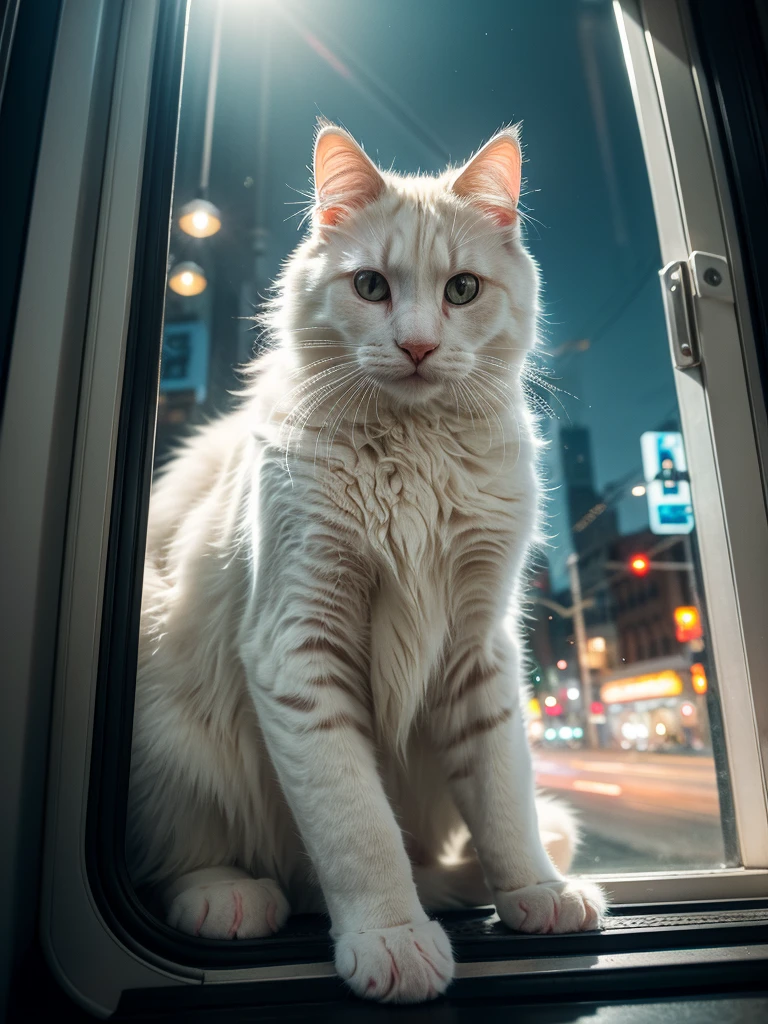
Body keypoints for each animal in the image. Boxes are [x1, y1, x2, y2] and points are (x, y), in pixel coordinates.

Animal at [129, 123, 606, 1003]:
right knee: (201, 855)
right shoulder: (298, 642)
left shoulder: (479, 646)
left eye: (461, 290)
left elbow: (505, 798)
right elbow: (357, 828)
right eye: (371, 286)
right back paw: (231, 895)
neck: (414, 454)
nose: (417, 345)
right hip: (164, 702)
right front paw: (391, 936)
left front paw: (534, 892)